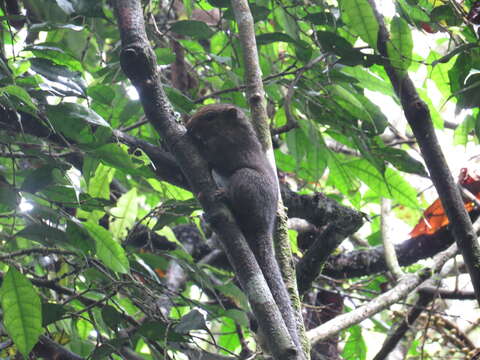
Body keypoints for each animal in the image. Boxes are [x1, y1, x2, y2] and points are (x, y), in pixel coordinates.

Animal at [187, 103, 300, 352]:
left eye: (210, 117)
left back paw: (225, 197)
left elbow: (212, 155)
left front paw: (193, 140)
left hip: (245, 180)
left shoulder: (229, 148)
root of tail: (264, 226)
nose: (189, 125)